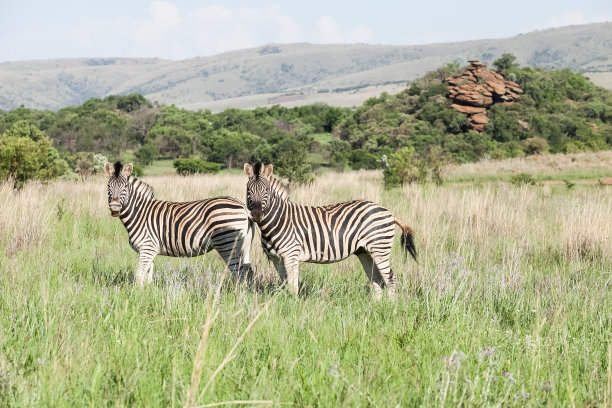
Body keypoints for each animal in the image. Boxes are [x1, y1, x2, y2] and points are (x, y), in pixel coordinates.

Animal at [105, 161, 253, 286]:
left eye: (124, 187)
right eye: (108, 186)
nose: (114, 208)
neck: (140, 213)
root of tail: (243, 206)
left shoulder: (147, 248)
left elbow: (139, 276)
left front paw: (137, 296)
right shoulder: (149, 251)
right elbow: (148, 277)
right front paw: (148, 294)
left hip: (227, 243)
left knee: (238, 272)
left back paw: (235, 295)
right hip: (243, 245)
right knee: (247, 270)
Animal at [244, 163, 416, 300]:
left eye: (266, 191)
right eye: (248, 191)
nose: (257, 215)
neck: (278, 220)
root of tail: (388, 211)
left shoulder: (291, 256)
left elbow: (293, 286)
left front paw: (293, 307)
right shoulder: (276, 259)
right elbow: (285, 283)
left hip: (380, 249)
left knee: (391, 279)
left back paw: (391, 307)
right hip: (365, 251)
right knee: (377, 280)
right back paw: (376, 306)